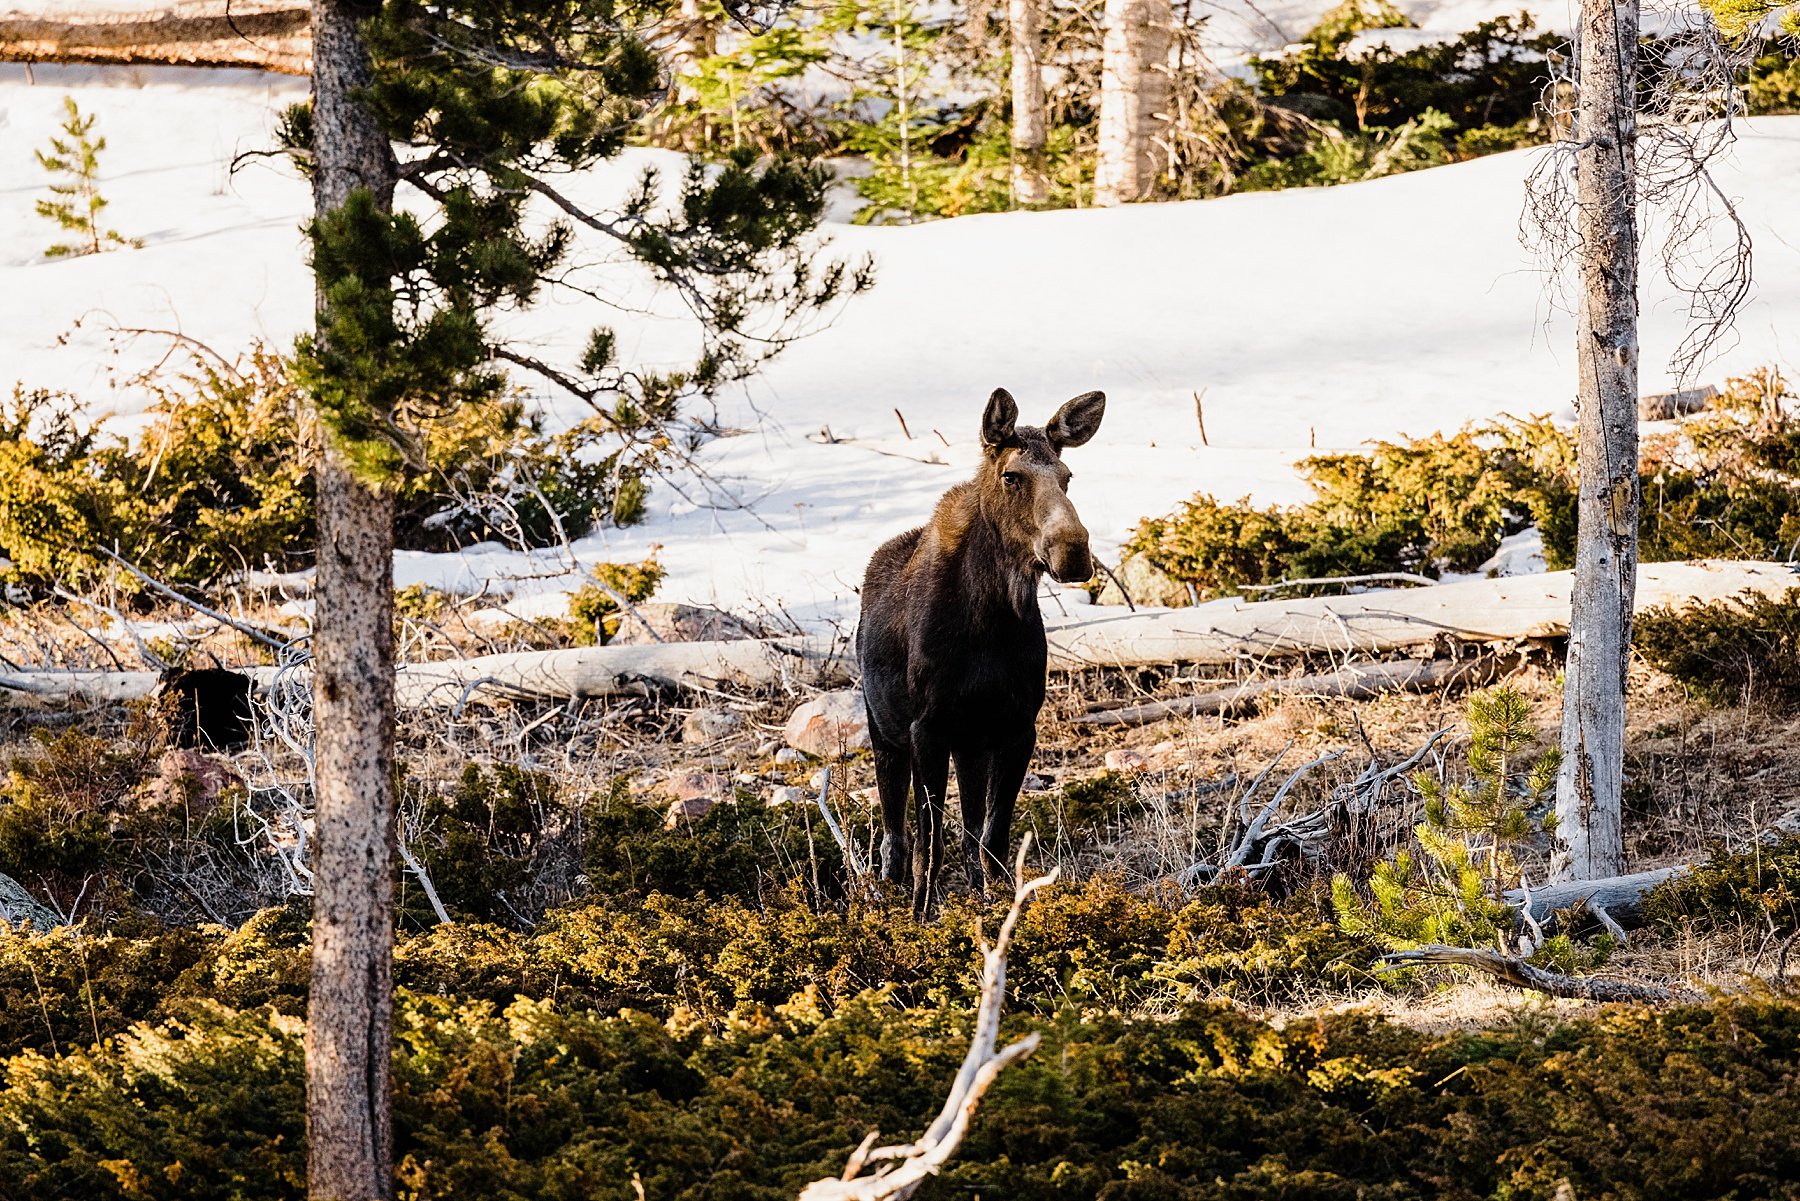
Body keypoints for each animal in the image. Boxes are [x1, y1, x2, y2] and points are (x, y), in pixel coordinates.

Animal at [853, 390, 1094, 914]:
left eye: (1068, 476)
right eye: (1011, 476)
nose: (1073, 552)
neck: (990, 620)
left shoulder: (1015, 726)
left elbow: (991, 837)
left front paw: (999, 907)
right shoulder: (926, 728)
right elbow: (929, 845)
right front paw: (921, 916)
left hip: (968, 745)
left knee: (966, 835)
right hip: (885, 734)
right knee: (893, 837)